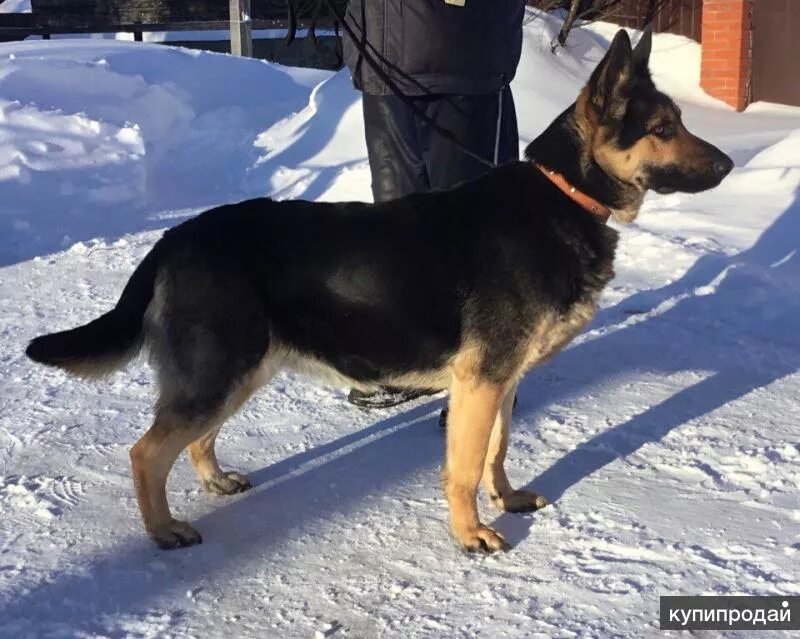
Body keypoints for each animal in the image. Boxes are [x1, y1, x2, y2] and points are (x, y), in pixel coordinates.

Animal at [26, 28, 732, 552]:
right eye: (663, 129)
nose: (728, 164)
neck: (563, 193)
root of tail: (175, 237)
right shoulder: (481, 384)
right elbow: (464, 467)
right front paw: (471, 533)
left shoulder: (503, 382)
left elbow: (498, 452)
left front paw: (505, 501)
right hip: (219, 372)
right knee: (146, 452)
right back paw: (162, 530)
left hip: (241, 371)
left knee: (194, 439)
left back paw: (216, 482)